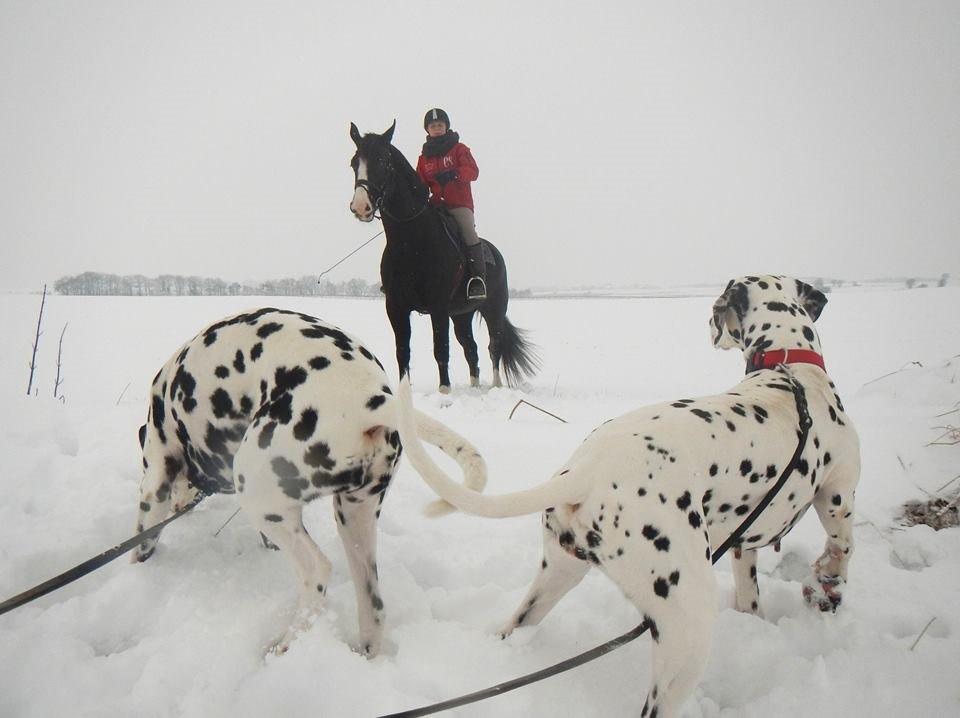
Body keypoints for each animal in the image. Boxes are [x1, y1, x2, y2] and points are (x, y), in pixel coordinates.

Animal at [131, 310, 484, 660]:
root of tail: (369, 399)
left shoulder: (155, 480)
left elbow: (142, 541)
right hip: (354, 519)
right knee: (373, 607)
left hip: (259, 496)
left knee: (317, 571)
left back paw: (285, 644)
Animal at [394, 278, 860, 718]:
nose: (708, 324)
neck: (790, 370)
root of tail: (588, 469)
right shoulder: (837, 497)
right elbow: (842, 548)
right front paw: (829, 586)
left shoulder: (743, 546)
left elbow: (751, 596)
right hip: (687, 626)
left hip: (557, 575)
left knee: (514, 627)